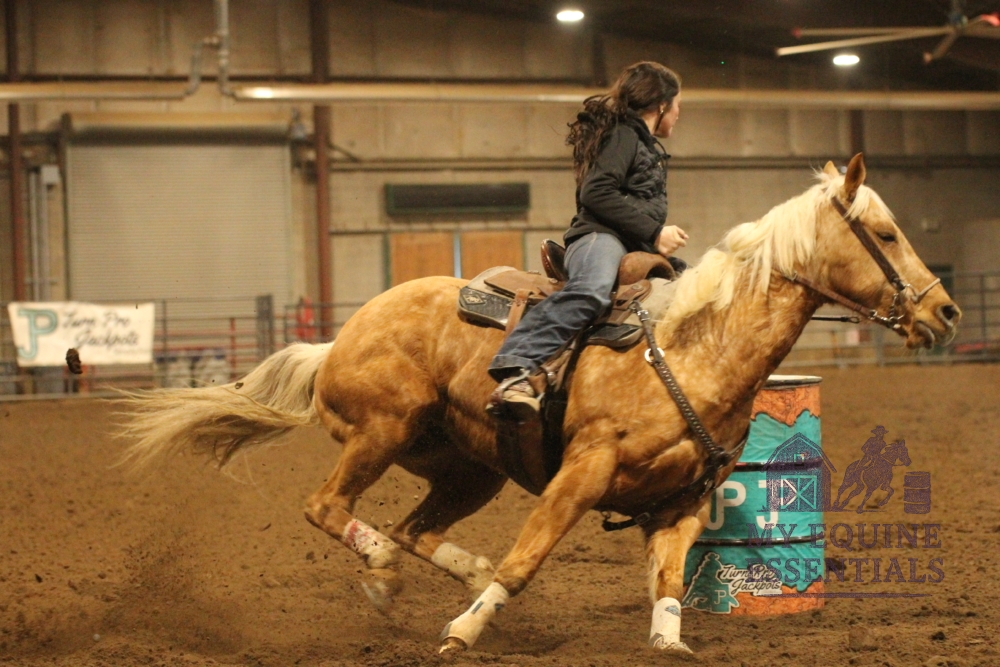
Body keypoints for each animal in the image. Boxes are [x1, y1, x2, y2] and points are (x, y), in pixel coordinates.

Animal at [120, 154, 960, 655]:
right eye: (885, 232)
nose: (946, 311)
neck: (693, 350)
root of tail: (338, 338)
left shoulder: (684, 501)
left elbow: (666, 584)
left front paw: (669, 641)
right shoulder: (580, 472)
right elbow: (528, 557)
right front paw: (463, 631)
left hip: (470, 467)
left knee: (412, 526)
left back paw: (438, 569)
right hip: (381, 430)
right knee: (329, 506)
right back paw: (394, 575)